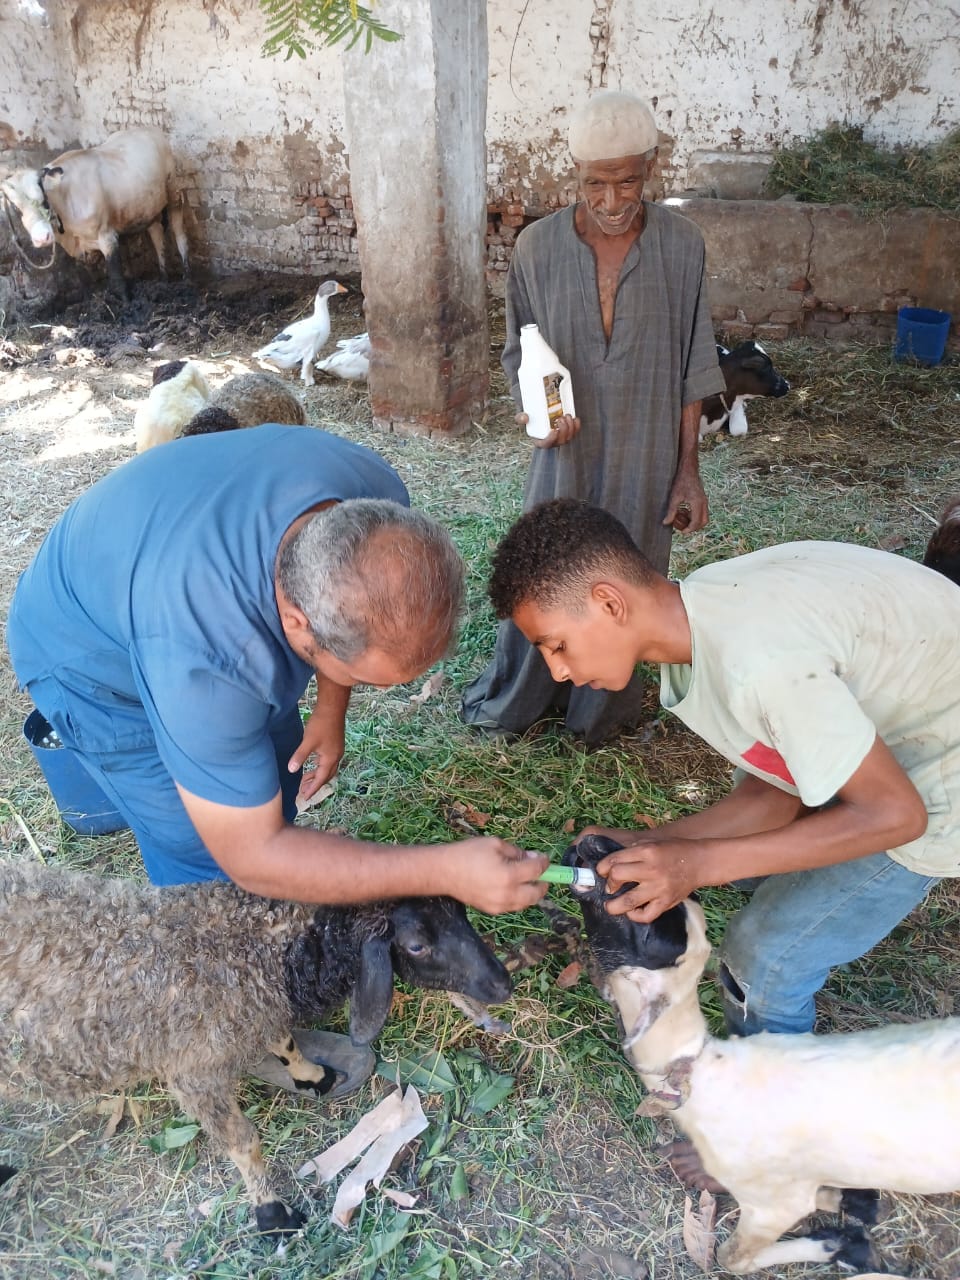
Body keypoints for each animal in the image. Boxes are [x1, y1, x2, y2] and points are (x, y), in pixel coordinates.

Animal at [0, 860, 512, 1239]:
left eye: (462, 911)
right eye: (416, 945)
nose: (502, 984)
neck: (259, 951)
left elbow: (282, 1038)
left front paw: (313, 1076)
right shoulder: (193, 1069)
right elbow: (243, 1143)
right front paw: (272, 1214)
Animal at [563, 834, 960, 1274]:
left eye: (650, 932)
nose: (596, 842)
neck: (705, 1073)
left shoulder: (774, 1205)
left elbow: (732, 1257)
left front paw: (838, 1243)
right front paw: (853, 1204)